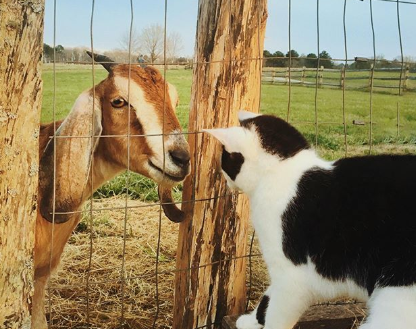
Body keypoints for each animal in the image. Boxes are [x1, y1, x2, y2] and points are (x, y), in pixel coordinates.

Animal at [204, 111, 416, 328]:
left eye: (224, 160)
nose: (224, 181)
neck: (284, 173)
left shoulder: (292, 277)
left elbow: (277, 313)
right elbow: (267, 299)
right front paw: (250, 321)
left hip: (397, 297)